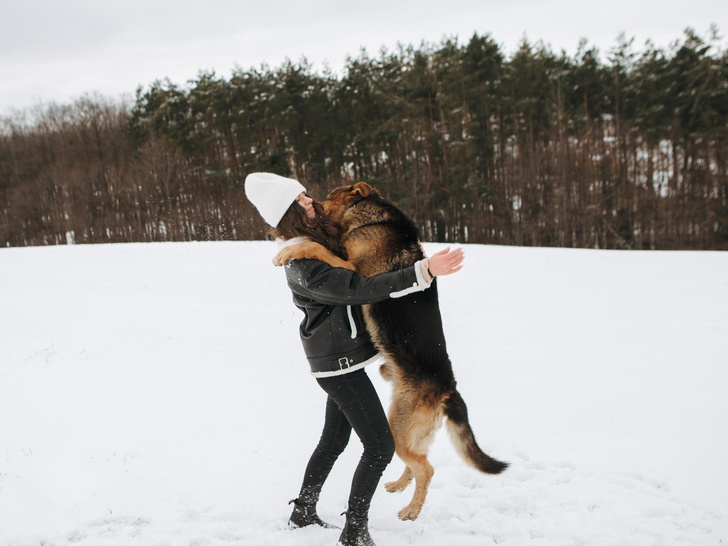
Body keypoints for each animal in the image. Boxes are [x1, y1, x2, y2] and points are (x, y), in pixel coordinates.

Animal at [272, 182, 506, 520]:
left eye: (328, 195)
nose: (311, 202)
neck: (368, 216)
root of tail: (449, 390)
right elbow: (323, 247)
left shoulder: (355, 270)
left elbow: (319, 248)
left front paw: (288, 251)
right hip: (405, 427)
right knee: (418, 462)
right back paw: (399, 485)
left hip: (398, 428)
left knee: (426, 469)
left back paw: (412, 509)